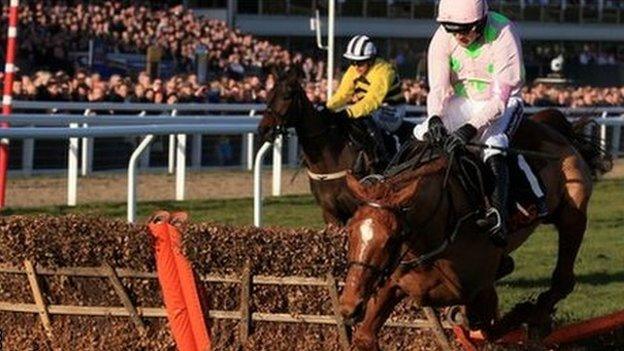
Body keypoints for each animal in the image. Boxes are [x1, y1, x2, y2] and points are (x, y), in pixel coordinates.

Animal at [336, 109, 608, 350]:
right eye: (350, 231)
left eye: (393, 238)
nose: (349, 305)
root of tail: (549, 123)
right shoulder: (391, 285)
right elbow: (365, 337)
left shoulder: (479, 291)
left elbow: (489, 328)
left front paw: (525, 311)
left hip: (572, 213)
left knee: (563, 280)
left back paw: (538, 316)